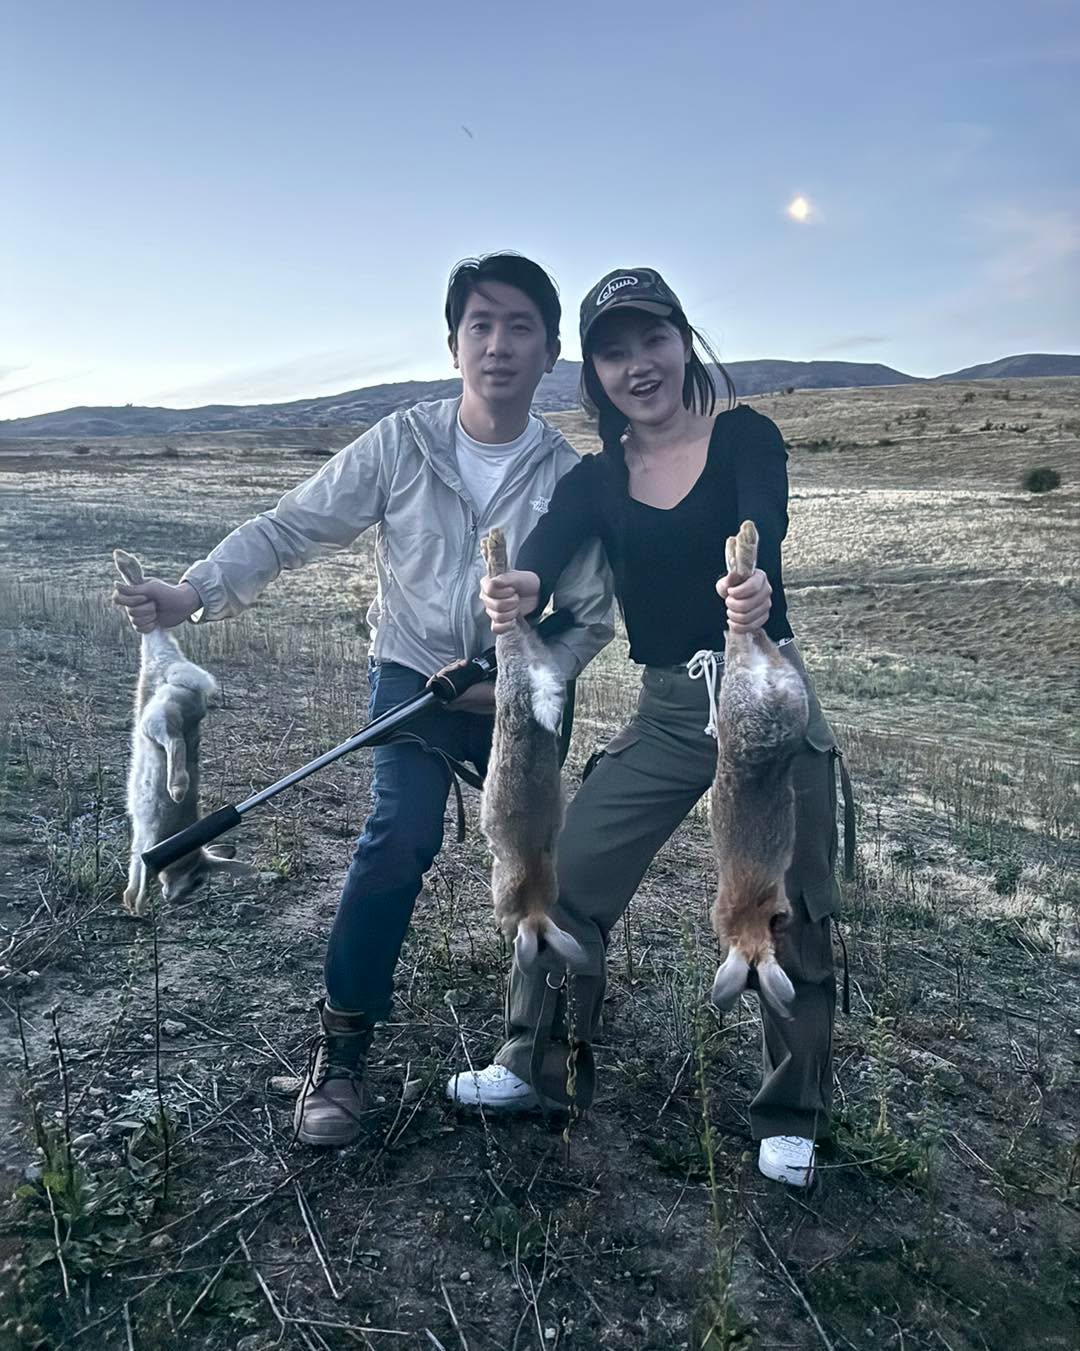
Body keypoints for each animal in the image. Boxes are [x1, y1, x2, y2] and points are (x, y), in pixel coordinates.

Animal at [114, 549, 250, 915]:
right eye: (198, 880)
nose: (174, 899)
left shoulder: (141, 845)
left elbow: (135, 871)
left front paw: (131, 903)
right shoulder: (148, 846)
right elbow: (141, 873)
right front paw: (139, 904)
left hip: (154, 714)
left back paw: (125, 564)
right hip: (159, 722)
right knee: (176, 744)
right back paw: (177, 789)